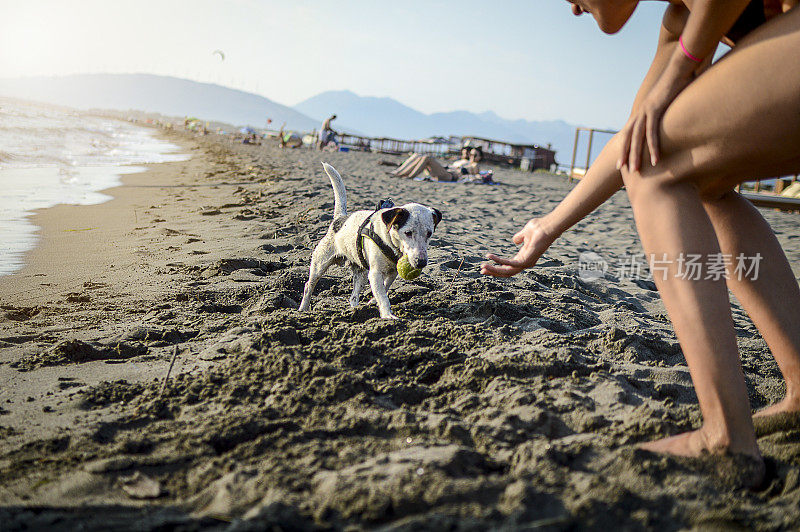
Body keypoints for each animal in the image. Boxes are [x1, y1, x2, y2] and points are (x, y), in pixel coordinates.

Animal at [296, 162, 440, 320]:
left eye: (429, 234)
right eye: (407, 233)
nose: (421, 262)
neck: (390, 242)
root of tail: (339, 219)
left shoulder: (391, 272)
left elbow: (385, 286)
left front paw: (373, 301)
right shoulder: (375, 273)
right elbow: (383, 296)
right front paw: (387, 315)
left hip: (361, 272)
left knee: (353, 296)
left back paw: (355, 310)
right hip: (320, 264)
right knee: (308, 286)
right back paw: (303, 308)